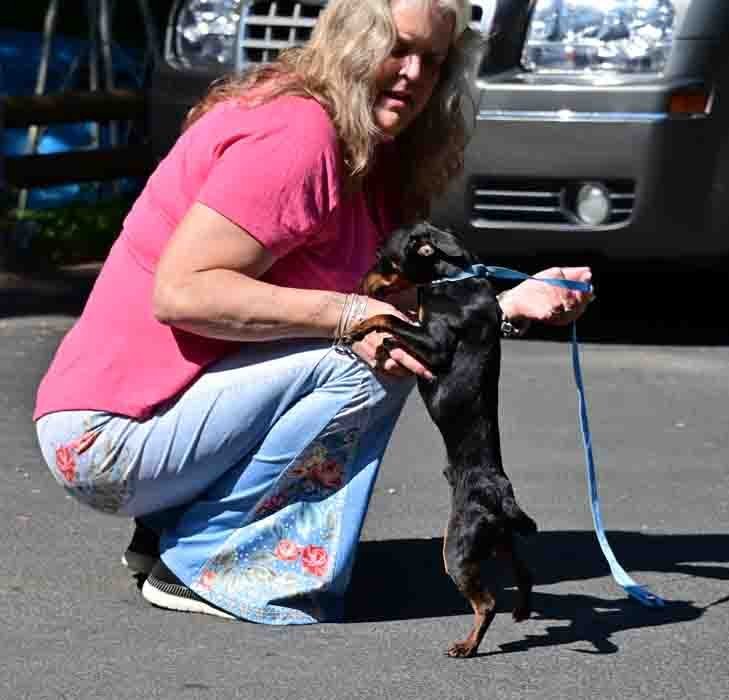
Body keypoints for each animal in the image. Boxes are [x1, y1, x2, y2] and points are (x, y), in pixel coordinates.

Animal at [346, 223, 536, 656]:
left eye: (383, 258)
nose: (361, 283)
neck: (452, 278)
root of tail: (501, 494)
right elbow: (397, 320)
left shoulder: (434, 348)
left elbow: (388, 317)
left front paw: (364, 331)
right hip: (499, 539)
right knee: (523, 572)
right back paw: (521, 611)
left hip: (458, 548)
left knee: (487, 603)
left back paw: (467, 646)